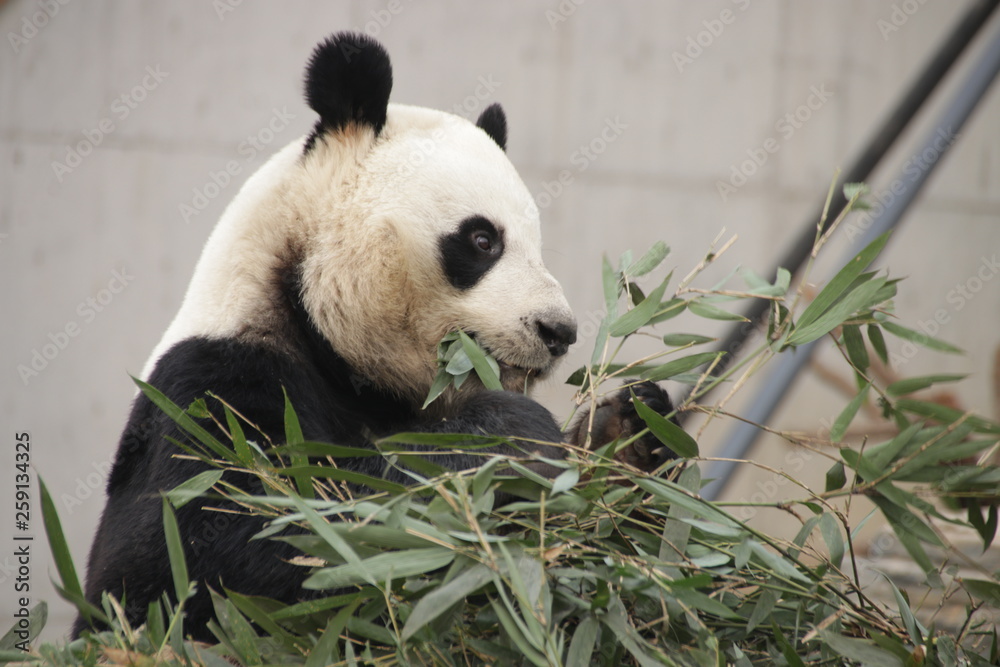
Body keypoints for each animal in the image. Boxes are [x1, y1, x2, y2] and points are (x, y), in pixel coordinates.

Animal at [74, 32, 676, 641]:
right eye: (482, 239)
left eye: (535, 246)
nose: (558, 331)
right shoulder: (211, 383)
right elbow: (220, 547)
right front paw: (511, 436)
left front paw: (626, 432)